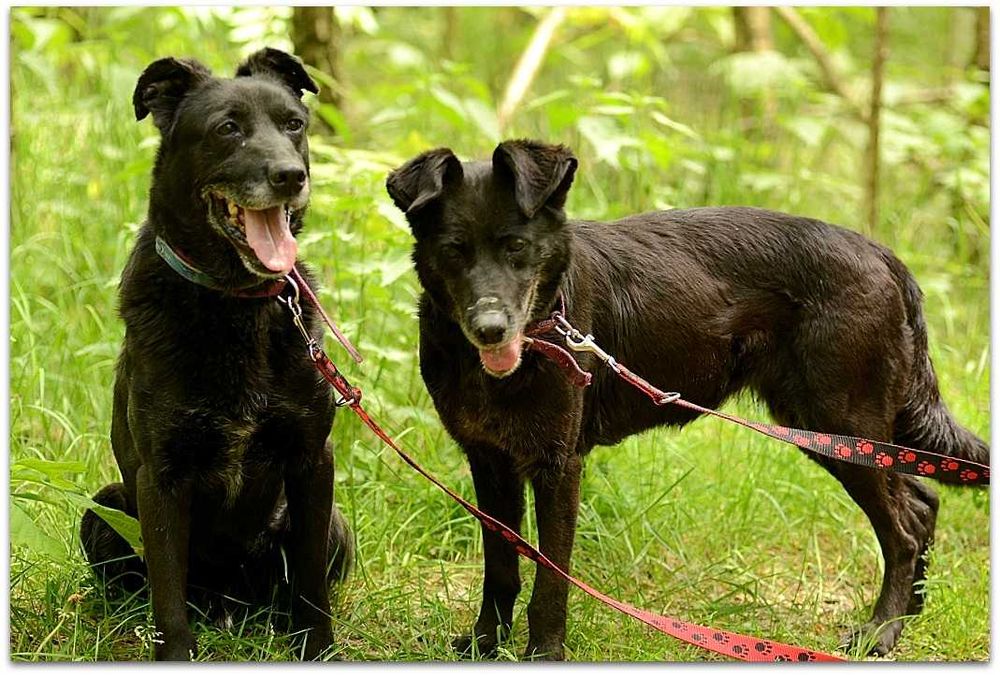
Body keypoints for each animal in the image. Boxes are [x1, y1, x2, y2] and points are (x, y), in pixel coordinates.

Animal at [83, 50, 356, 664]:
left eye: (294, 125)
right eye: (227, 129)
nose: (290, 176)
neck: (235, 302)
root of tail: (230, 606)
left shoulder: (313, 461)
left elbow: (311, 586)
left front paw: (317, 649)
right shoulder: (161, 478)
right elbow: (168, 598)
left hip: (337, 527)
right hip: (104, 507)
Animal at [386, 139, 988, 660]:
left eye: (516, 246)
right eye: (454, 251)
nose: (489, 330)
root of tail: (884, 255)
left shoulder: (558, 466)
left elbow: (549, 578)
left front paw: (544, 654)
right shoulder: (490, 462)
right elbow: (501, 568)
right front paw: (485, 645)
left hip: (841, 424)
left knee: (905, 527)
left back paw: (882, 632)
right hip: (829, 430)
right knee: (922, 500)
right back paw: (909, 616)